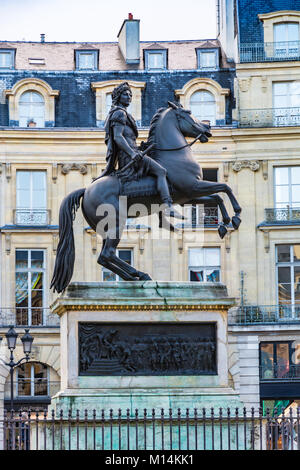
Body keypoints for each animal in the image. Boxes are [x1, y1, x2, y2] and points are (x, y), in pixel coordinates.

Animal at [51, 102, 241, 292]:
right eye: (188, 113)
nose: (208, 128)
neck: (174, 156)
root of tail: (86, 190)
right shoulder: (193, 187)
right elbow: (225, 188)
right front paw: (235, 216)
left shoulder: (188, 195)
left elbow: (218, 196)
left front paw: (225, 223)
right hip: (116, 223)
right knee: (108, 254)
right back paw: (139, 274)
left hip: (105, 228)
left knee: (103, 257)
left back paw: (134, 276)